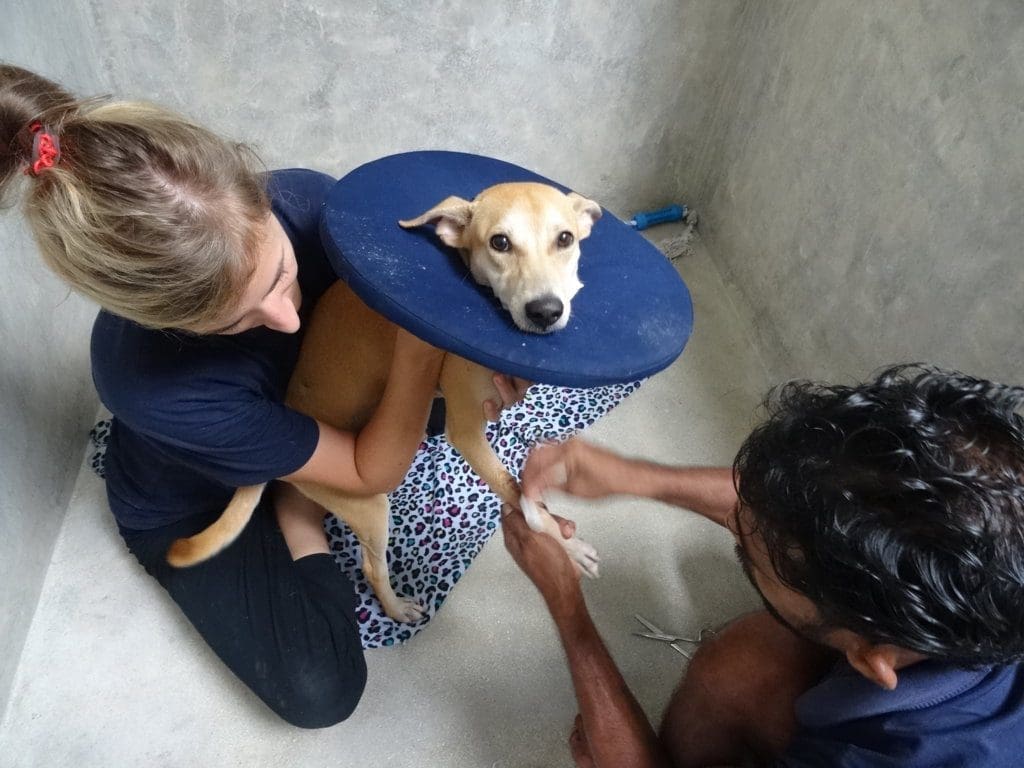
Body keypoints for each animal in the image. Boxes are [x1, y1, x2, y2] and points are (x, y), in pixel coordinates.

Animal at [163, 182, 602, 626]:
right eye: (500, 242)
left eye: (565, 238)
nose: (546, 311)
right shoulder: (467, 431)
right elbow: (522, 498)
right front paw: (568, 547)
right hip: (370, 505)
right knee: (372, 568)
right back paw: (395, 608)